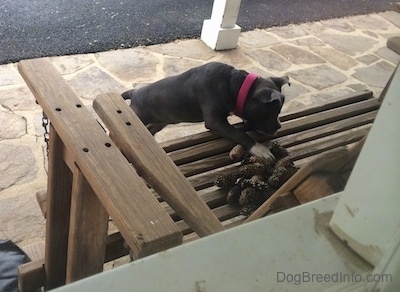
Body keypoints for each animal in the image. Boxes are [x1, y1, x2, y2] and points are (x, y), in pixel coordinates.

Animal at [120, 62, 290, 162]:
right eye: (272, 112)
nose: (279, 126)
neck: (235, 85)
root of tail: (134, 93)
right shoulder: (215, 122)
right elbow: (238, 134)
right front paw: (260, 149)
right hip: (140, 117)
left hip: (159, 121)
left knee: (150, 129)